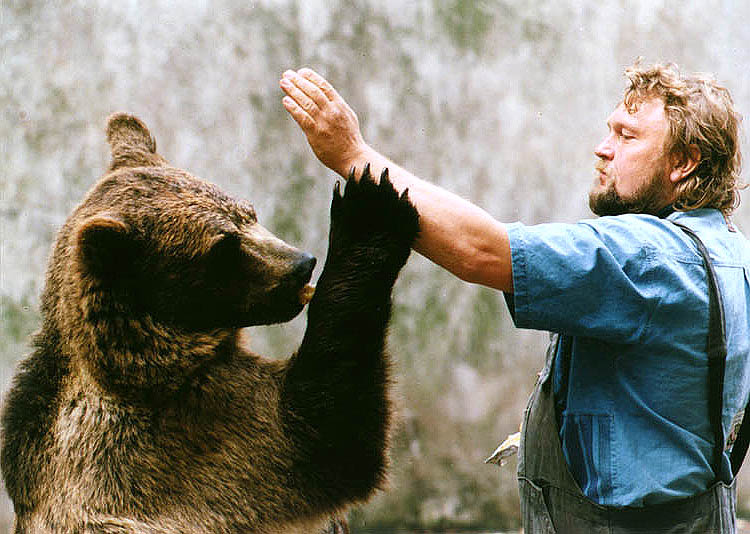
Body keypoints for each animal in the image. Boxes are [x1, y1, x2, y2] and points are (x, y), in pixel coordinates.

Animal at [0, 112, 419, 534]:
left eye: (248, 212)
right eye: (223, 247)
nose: (301, 265)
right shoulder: (181, 440)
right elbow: (328, 433)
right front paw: (370, 208)